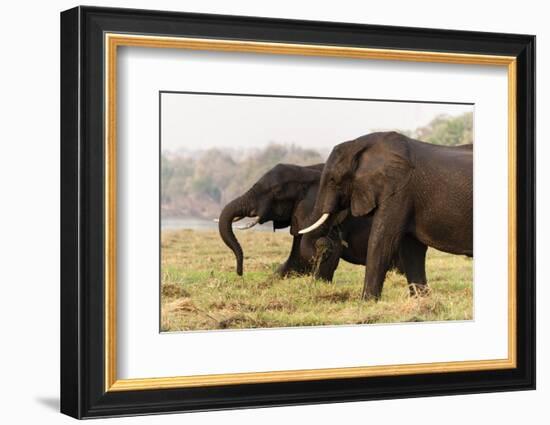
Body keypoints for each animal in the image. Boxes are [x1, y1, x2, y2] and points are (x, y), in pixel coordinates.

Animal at [300, 131, 476, 300]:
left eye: (332, 180)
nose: (324, 245)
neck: (359, 145)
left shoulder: (399, 191)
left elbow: (383, 240)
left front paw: (366, 301)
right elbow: (411, 248)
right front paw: (421, 301)